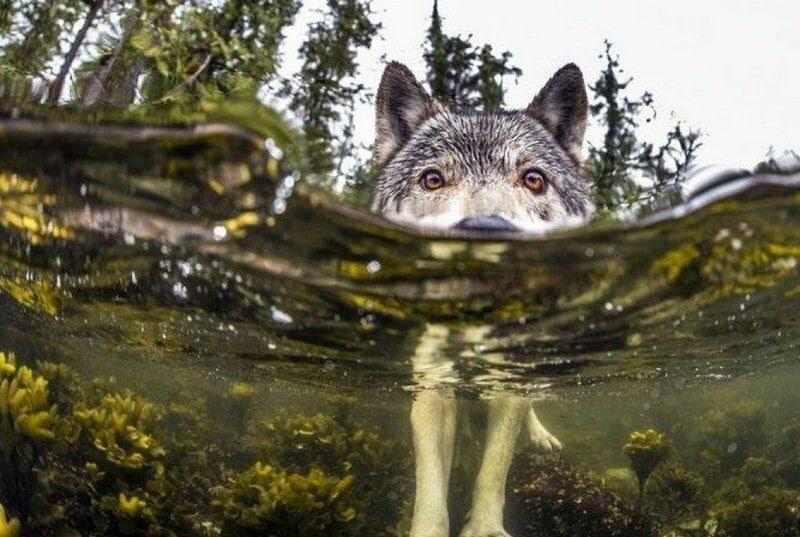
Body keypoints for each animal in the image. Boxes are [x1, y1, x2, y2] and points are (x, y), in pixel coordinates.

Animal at [371, 61, 595, 537]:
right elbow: (431, 488)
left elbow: (493, 469)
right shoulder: (432, 389)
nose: (487, 231)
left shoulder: (507, 386)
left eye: (534, 180)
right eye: (432, 179)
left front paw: (485, 528)